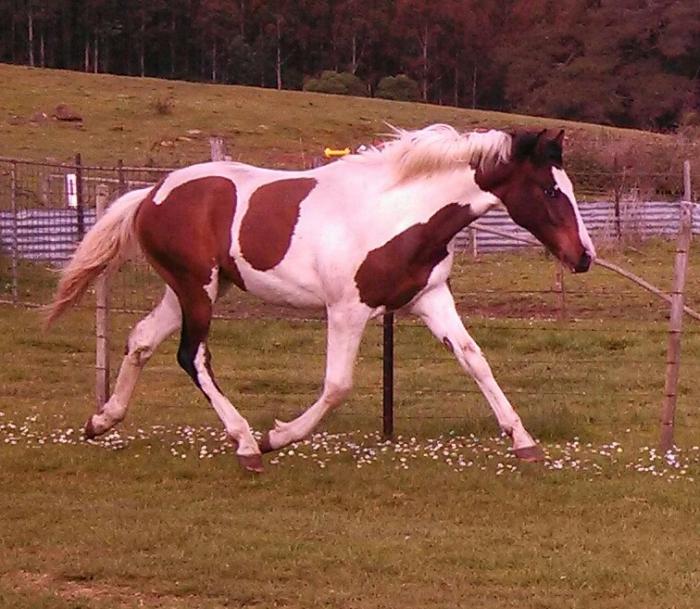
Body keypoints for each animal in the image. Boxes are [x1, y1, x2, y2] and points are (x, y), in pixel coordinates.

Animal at [45, 124, 596, 473]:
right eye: (551, 191)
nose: (584, 256)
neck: (399, 212)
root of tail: (152, 194)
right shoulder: (347, 310)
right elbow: (337, 386)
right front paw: (277, 437)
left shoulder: (431, 298)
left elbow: (475, 360)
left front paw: (524, 442)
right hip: (196, 289)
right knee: (192, 355)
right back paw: (246, 443)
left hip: (191, 288)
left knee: (141, 339)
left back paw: (102, 421)